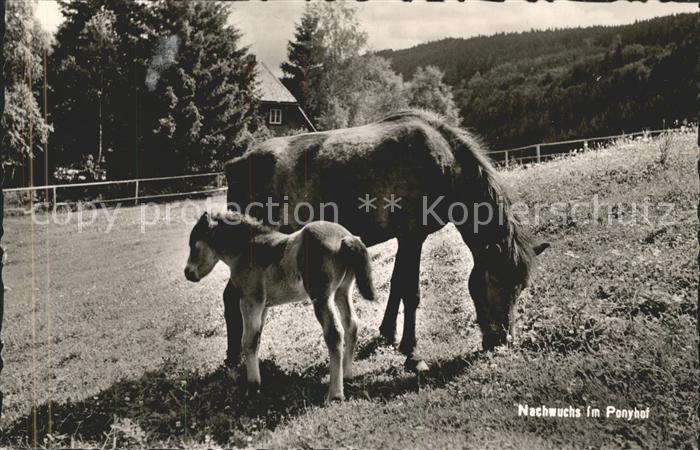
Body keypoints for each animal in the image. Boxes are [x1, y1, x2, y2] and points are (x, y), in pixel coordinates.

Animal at [184, 211, 376, 401]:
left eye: (194, 245)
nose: (188, 273)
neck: (246, 250)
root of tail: (346, 236)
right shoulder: (264, 306)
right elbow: (257, 338)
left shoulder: (250, 300)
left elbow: (248, 341)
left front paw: (253, 386)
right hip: (342, 292)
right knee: (351, 325)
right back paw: (347, 376)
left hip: (322, 297)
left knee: (335, 333)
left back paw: (335, 393)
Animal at [222, 110, 549, 372]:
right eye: (495, 280)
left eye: (521, 286)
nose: (502, 341)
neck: (443, 161)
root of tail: (237, 163)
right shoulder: (412, 236)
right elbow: (411, 291)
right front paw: (412, 353)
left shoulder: (406, 239)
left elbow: (397, 285)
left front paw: (389, 335)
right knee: (230, 297)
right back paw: (235, 359)